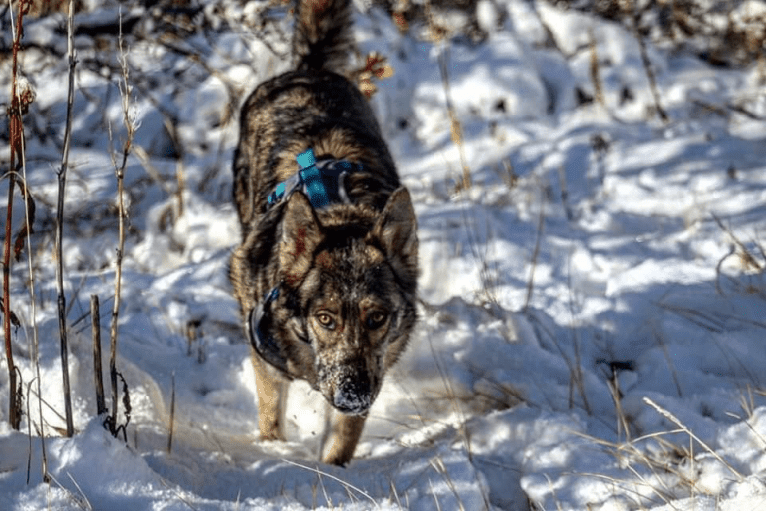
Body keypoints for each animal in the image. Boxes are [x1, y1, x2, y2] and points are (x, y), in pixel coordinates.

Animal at [228, 0, 420, 466]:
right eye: (325, 318)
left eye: (377, 317)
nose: (352, 395)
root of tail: (308, 70)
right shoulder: (265, 357)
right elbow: (271, 419)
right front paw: (274, 454)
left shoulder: (375, 369)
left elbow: (342, 441)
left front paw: (336, 469)